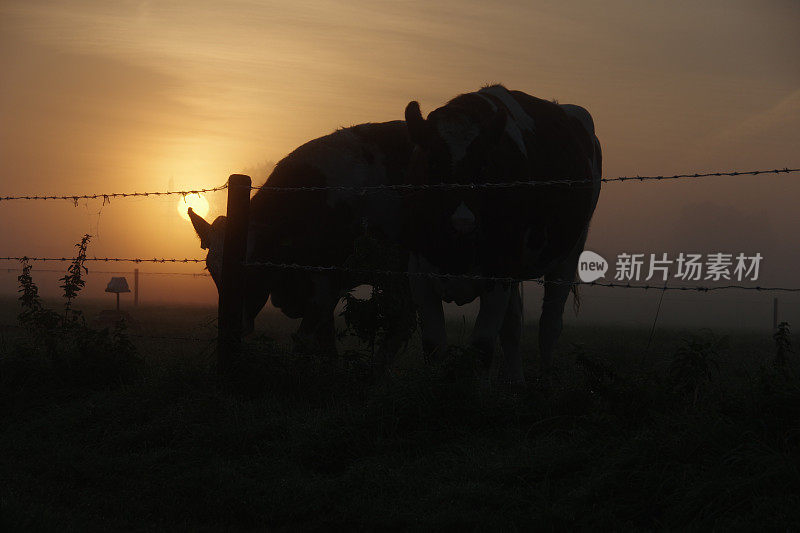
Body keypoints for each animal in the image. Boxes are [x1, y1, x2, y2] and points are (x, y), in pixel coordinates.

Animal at [400, 83, 600, 384]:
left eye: (484, 166)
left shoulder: (499, 272)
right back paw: (516, 383)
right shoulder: (419, 272)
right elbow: (434, 347)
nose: (463, 223)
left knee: (550, 324)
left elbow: (482, 348)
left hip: (569, 251)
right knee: (513, 327)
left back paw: (546, 378)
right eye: (432, 164)